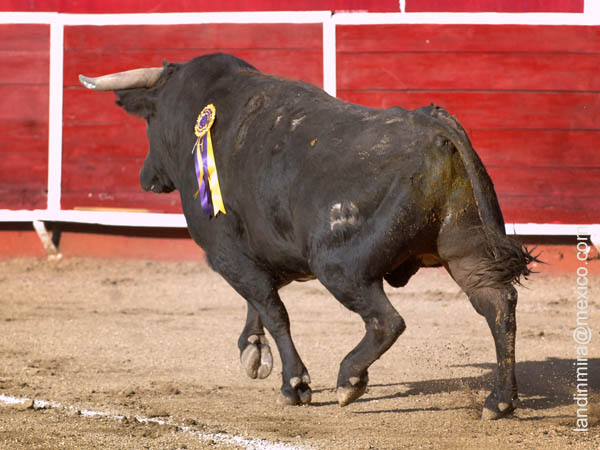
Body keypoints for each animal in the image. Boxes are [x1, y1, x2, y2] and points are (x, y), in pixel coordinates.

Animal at [79, 52, 536, 418]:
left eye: (150, 119)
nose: (146, 178)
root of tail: (433, 125)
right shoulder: (272, 251)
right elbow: (261, 301)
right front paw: (252, 350)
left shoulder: (225, 251)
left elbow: (272, 308)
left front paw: (294, 384)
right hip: (467, 252)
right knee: (498, 305)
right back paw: (499, 401)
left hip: (339, 267)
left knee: (387, 321)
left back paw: (349, 379)